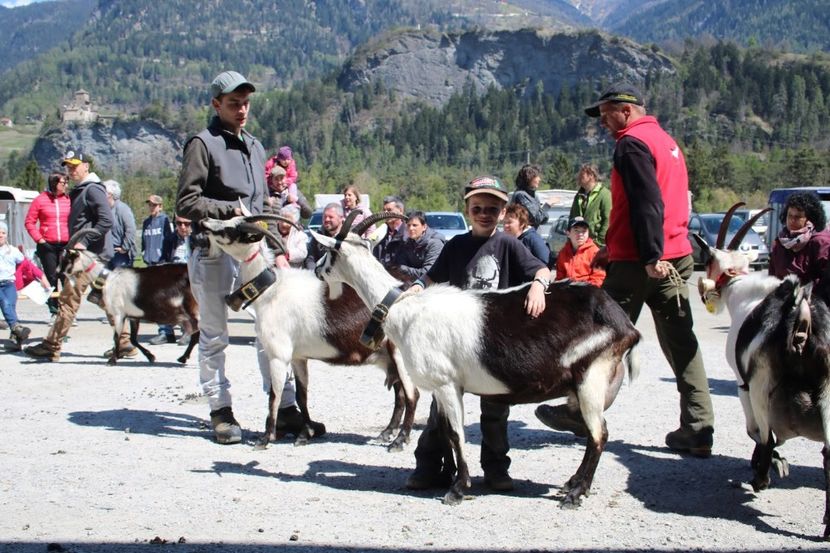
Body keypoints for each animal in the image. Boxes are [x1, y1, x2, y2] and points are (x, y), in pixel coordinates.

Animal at [60, 226, 202, 364]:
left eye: (66, 258)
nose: (59, 273)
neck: (108, 278)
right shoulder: (134, 316)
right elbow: (133, 338)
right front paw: (150, 356)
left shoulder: (118, 313)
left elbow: (116, 336)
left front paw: (112, 360)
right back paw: (183, 358)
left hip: (192, 309)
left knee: (197, 334)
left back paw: (183, 358)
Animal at [197, 213, 420, 450]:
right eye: (230, 219)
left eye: (232, 229)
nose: (204, 222)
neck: (272, 290)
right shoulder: (298, 357)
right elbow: (301, 396)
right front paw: (305, 434)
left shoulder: (278, 355)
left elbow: (274, 395)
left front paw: (265, 439)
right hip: (389, 357)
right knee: (401, 394)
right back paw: (386, 433)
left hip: (398, 354)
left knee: (411, 394)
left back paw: (400, 439)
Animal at [312, 213, 644, 506]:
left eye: (328, 252)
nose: (315, 267)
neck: (404, 309)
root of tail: (624, 323)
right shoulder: (444, 387)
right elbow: (443, 430)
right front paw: (446, 477)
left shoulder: (446, 384)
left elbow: (456, 433)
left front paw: (458, 489)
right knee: (593, 431)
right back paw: (571, 483)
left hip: (591, 376)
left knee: (599, 434)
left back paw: (575, 494)